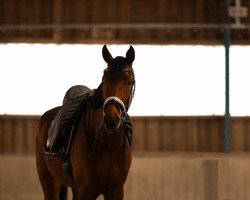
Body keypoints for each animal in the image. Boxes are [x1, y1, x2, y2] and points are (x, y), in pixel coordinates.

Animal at [35, 45, 135, 200]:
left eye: (129, 81)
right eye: (104, 80)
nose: (111, 120)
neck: (107, 145)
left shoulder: (116, 191)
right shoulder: (86, 190)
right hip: (49, 183)